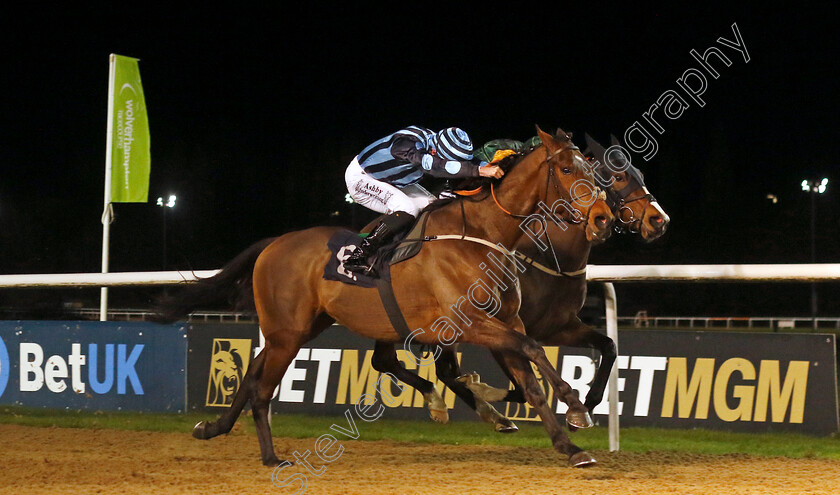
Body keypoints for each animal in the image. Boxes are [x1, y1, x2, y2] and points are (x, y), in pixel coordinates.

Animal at [156, 126, 616, 466]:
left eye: (593, 171)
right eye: (567, 169)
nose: (603, 219)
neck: (483, 234)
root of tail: (274, 243)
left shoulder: (506, 321)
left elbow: (531, 381)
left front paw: (570, 446)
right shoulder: (472, 323)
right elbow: (533, 350)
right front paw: (576, 405)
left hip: (299, 328)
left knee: (253, 373)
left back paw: (212, 428)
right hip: (287, 332)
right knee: (263, 387)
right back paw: (270, 456)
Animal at [368, 132, 668, 430]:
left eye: (639, 173)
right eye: (618, 176)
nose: (659, 220)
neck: (551, 258)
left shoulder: (558, 327)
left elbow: (609, 346)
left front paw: (587, 405)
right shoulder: (494, 327)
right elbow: (519, 383)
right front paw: (485, 390)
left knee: (387, 361)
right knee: (414, 365)